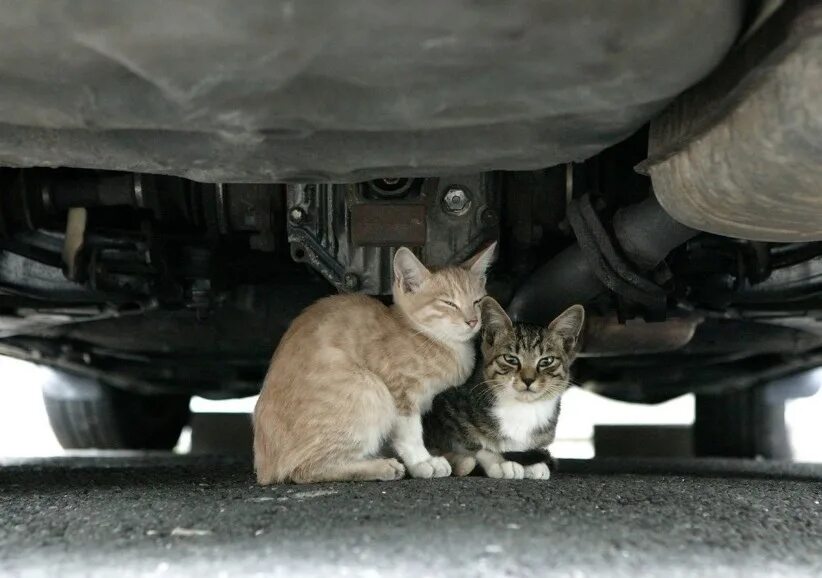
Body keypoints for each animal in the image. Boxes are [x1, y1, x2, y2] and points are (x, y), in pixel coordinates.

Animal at [251, 241, 496, 484]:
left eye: (477, 301)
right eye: (448, 303)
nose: (472, 321)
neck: (428, 337)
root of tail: (264, 468)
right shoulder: (399, 391)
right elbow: (410, 433)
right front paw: (421, 461)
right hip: (369, 388)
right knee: (303, 470)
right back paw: (381, 466)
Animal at [424, 294, 584, 480]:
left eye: (546, 361)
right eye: (511, 359)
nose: (528, 379)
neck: (522, 409)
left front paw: (534, 464)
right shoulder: (443, 410)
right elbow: (475, 446)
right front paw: (500, 461)